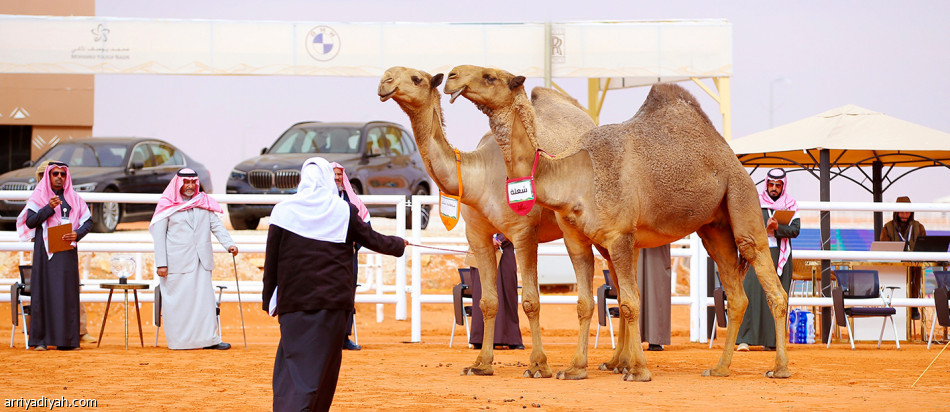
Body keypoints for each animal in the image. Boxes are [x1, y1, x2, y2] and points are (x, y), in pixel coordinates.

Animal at [378, 66, 596, 378]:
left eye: (416, 79)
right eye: (389, 73)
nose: (384, 83)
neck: (480, 178)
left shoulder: (523, 233)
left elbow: (530, 300)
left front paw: (538, 364)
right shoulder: (478, 237)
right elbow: (488, 301)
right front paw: (481, 363)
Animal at [446, 65, 796, 384]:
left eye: (490, 76)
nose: (451, 75)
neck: (575, 175)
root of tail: (731, 156)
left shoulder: (619, 237)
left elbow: (629, 302)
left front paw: (638, 371)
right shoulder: (576, 239)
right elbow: (585, 303)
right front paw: (574, 369)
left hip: (741, 196)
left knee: (769, 278)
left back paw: (779, 368)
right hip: (714, 227)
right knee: (737, 296)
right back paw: (720, 368)